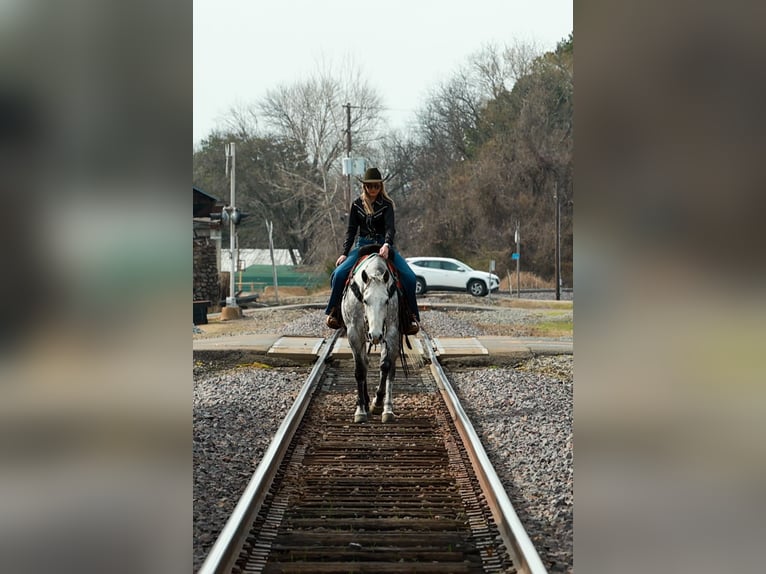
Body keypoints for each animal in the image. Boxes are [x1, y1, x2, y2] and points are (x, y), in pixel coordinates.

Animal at [341, 252, 406, 423]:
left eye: (386, 300)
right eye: (365, 300)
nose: (375, 335)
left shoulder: (392, 332)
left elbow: (386, 366)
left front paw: (382, 406)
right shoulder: (354, 333)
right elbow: (360, 370)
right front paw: (360, 410)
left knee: (389, 368)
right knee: (364, 363)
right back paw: (365, 400)